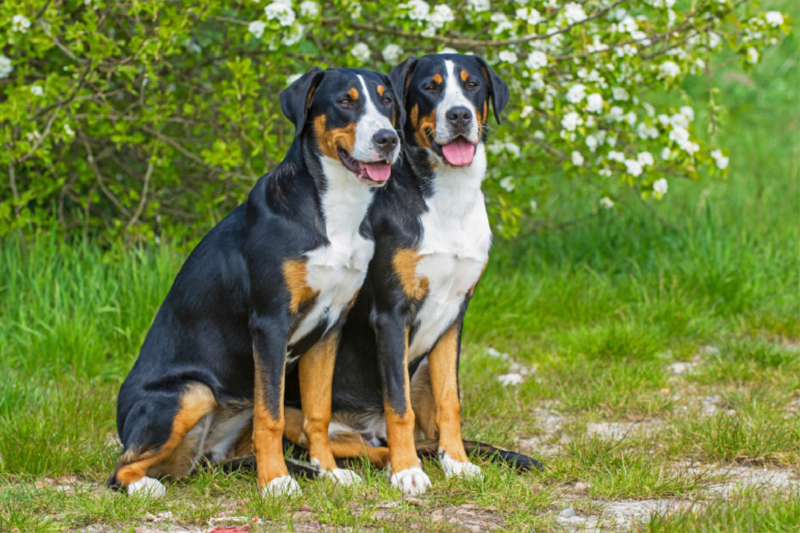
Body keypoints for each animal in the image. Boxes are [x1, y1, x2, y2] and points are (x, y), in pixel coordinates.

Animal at [109, 67, 404, 498]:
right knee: (120, 469)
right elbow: (271, 416)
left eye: (387, 101)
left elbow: (318, 413)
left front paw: (330, 471)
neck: (337, 213)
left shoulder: (331, 327)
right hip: (191, 392)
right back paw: (147, 486)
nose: (388, 139)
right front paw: (276, 481)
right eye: (344, 102)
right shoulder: (270, 324)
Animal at [282, 54, 520, 494]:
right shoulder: (392, 314)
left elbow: (450, 402)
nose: (459, 115)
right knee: (354, 443)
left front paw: (458, 462)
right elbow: (398, 404)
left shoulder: (454, 316)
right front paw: (408, 470)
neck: (447, 199)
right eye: (430, 87)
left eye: (472, 84)